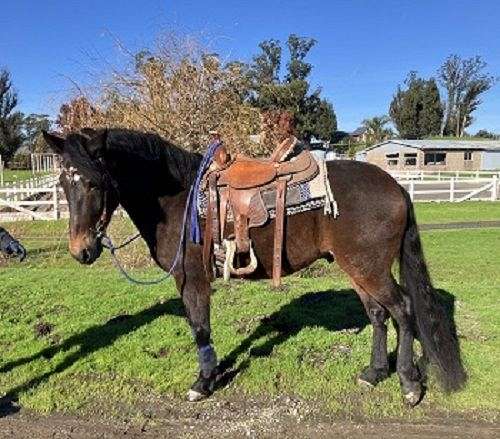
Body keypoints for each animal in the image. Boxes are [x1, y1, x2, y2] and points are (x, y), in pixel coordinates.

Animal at [44, 129, 468, 408]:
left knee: (403, 311)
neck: (180, 200)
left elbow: (200, 328)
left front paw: (203, 382)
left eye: (94, 183)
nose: (82, 250)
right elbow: (198, 326)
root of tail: (396, 187)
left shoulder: (193, 279)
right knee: (379, 315)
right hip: (358, 269)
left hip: (371, 269)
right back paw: (374, 373)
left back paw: (409, 384)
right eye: (63, 183)